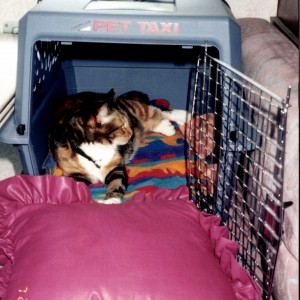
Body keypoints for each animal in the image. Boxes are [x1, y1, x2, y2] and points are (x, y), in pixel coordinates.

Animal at [49, 88, 190, 203]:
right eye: (122, 126)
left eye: (126, 123)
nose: (132, 132)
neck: (94, 150)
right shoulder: (74, 171)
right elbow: (74, 184)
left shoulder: (115, 166)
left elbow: (116, 182)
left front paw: (111, 201)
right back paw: (167, 126)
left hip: (135, 108)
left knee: (159, 112)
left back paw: (183, 117)